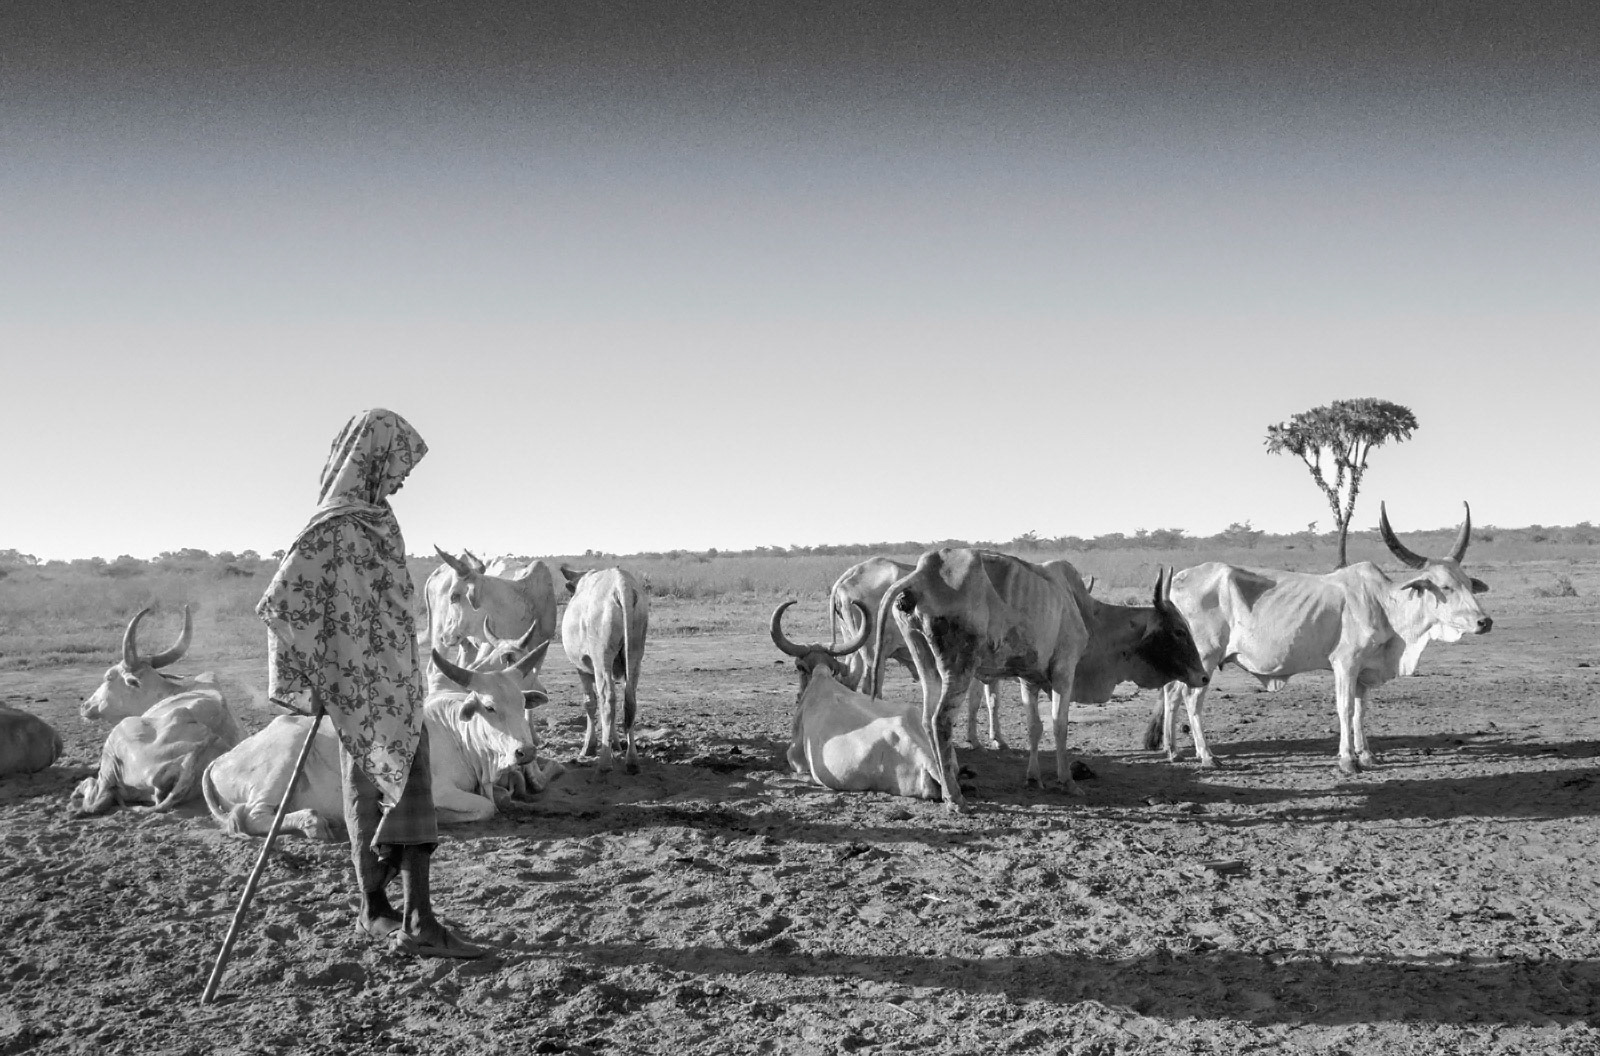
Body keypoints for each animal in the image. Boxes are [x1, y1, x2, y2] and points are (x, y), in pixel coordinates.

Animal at [201, 633, 554, 838]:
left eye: (522, 703)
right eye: (490, 707)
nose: (525, 752)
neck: (460, 739)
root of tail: (220, 760)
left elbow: (501, 799)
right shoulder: (436, 789)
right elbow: (485, 807)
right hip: (285, 760)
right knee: (253, 816)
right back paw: (311, 822)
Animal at [560, 565, 649, 774]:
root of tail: (621, 583)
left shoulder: (582, 668)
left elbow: (590, 703)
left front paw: (589, 746)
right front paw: (615, 742)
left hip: (602, 657)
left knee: (607, 699)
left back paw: (604, 762)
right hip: (634, 654)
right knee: (629, 700)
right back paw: (632, 760)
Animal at [873, 548, 1091, 811]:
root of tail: (922, 574)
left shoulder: (1029, 678)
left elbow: (1035, 727)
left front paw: (1033, 777)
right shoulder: (1064, 670)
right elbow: (1060, 725)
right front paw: (1067, 781)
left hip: (925, 660)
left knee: (927, 719)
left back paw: (945, 788)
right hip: (960, 666)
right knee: (940, 721)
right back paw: (955, 797)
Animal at [964, 565, 1207, 750]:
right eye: (1179, 631)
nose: (1204, 677)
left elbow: (991, 701)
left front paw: (993, 739)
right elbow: (981, 701)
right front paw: (981, 740)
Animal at [1147, 502, 1493, 774]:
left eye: (1467, 583)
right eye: (1444, 587)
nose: (1484, 621)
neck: (1383, 604)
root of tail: (1177, 580)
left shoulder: (1363, 672)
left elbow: (1361, 710)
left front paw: (1367, 755)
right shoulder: (1345, 664)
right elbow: (1345, 708)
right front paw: (1347, 760)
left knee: (1172, 693)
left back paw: (1173, 751)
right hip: (1206, 657)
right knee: (1191, 699)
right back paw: (1206, 756)